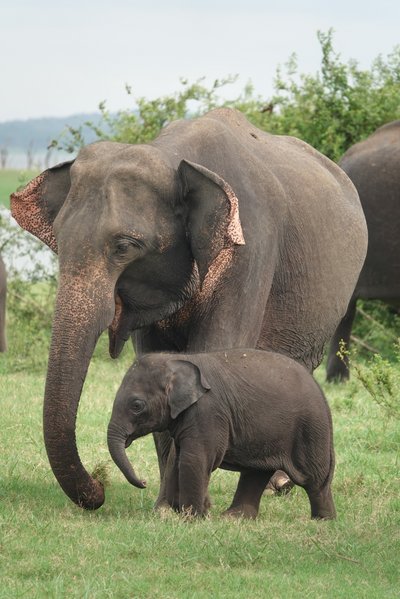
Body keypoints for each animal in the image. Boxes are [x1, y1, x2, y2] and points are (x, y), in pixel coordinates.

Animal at [108, 352, 336, 520]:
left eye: (137, 406)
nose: (144, 482)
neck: (176, 359)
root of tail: (321, 392)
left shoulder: (208, 412)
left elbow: (194, 459)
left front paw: (192, 518)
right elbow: (179, 458)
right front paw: (181, 511)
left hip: (311, 429)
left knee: (314, 477)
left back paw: (322, 520)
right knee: (257, 472)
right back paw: (233, 518)